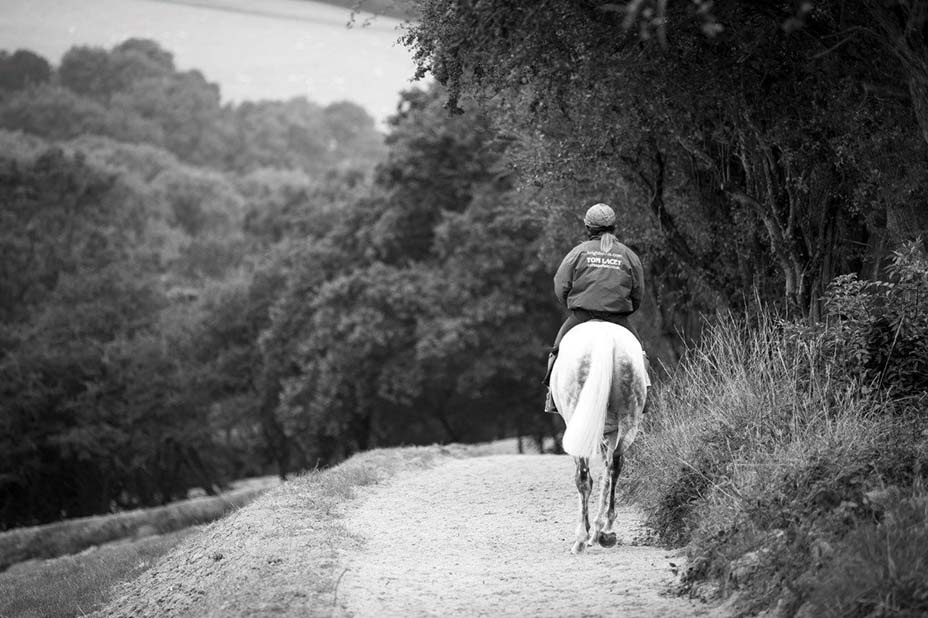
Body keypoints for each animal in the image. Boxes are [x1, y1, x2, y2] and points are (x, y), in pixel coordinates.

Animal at [552, 320, 644, 552]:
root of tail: (604, 338)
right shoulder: (609, 433)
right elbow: (607, 473)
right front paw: (598, 529)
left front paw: (589, 531)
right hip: (629, 419)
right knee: (615, 466)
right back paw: (607, 530)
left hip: (576, 413)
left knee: (584, 477)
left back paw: (581, 538)